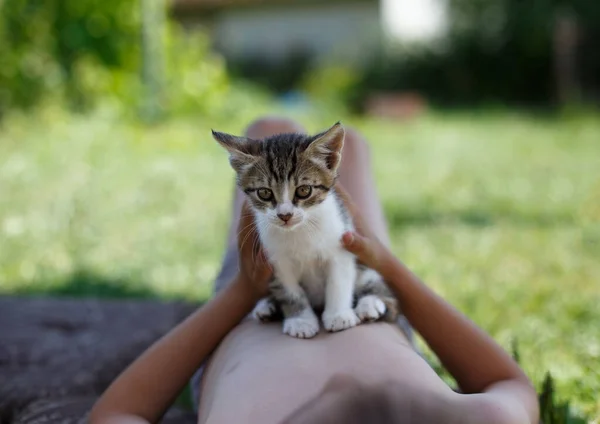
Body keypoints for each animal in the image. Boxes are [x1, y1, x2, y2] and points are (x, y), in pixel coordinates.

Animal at [212, 121, 398, 338]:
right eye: (264, 193)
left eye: (303, 190)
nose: (285, 215)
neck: (300, 230)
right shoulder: (276, 261)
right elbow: (290, 292)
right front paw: (300, 320)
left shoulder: (342, 244)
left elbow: (338, 282)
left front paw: (338, 315)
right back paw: (266, 306)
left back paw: (370, 303)